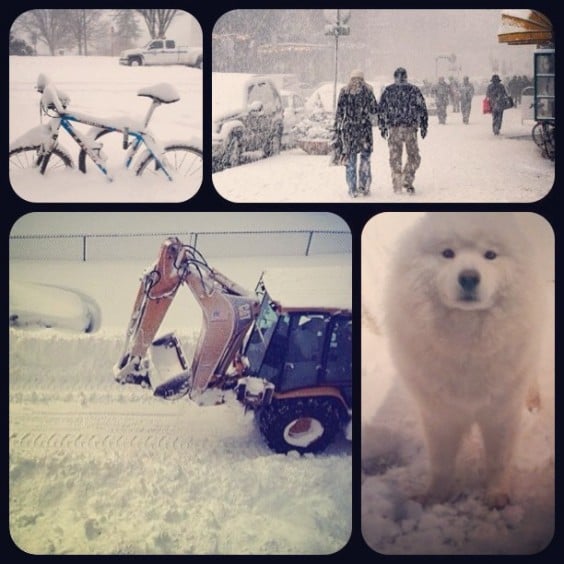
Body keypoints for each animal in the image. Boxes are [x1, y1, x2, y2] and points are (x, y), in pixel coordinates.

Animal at [386, 210, 544, 506]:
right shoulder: (440, 414)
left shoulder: (501, 412)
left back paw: (534, 401)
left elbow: (498, 459)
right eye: (448, 253)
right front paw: (433, 497)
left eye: (490, 255)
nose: (469, 277)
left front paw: (496, 495)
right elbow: (441, 463)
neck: (467, 342)